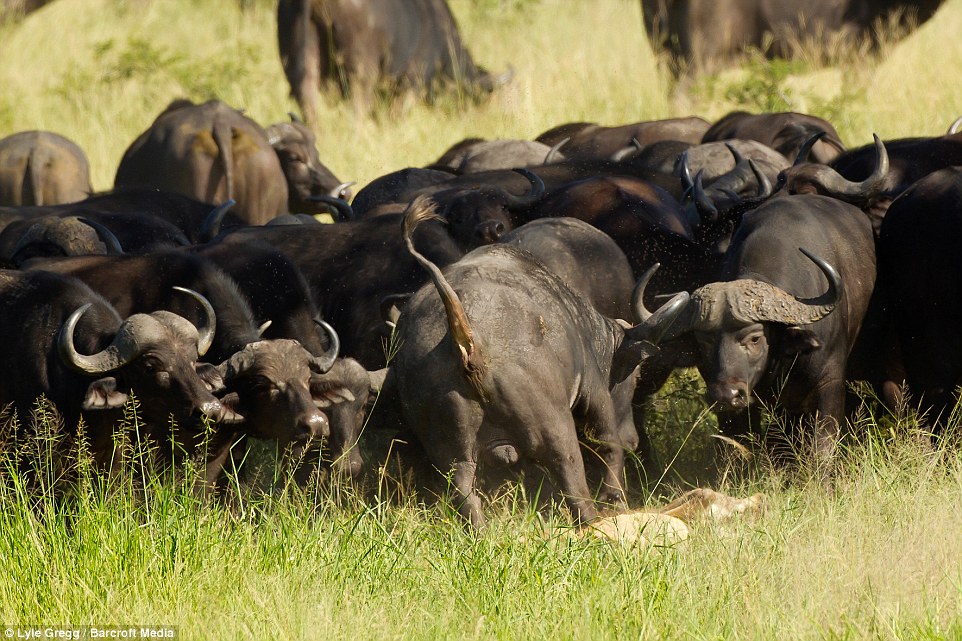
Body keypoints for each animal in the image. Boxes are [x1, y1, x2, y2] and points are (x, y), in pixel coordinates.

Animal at [276, 0, 510, 122]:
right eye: (482, 98)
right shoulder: (412, 84)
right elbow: (396, 116)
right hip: (361, 72)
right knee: (359, 107)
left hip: (297, 64)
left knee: (309, 103)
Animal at [378, 198, 688, 528]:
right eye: (636, 374)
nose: (633, 437)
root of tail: (468, 343)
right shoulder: (595, 392)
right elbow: (608, 443)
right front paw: (614, 498)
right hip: (555, 426)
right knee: (572, 475)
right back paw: (591, 519)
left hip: (451, 453)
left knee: (464, 493)